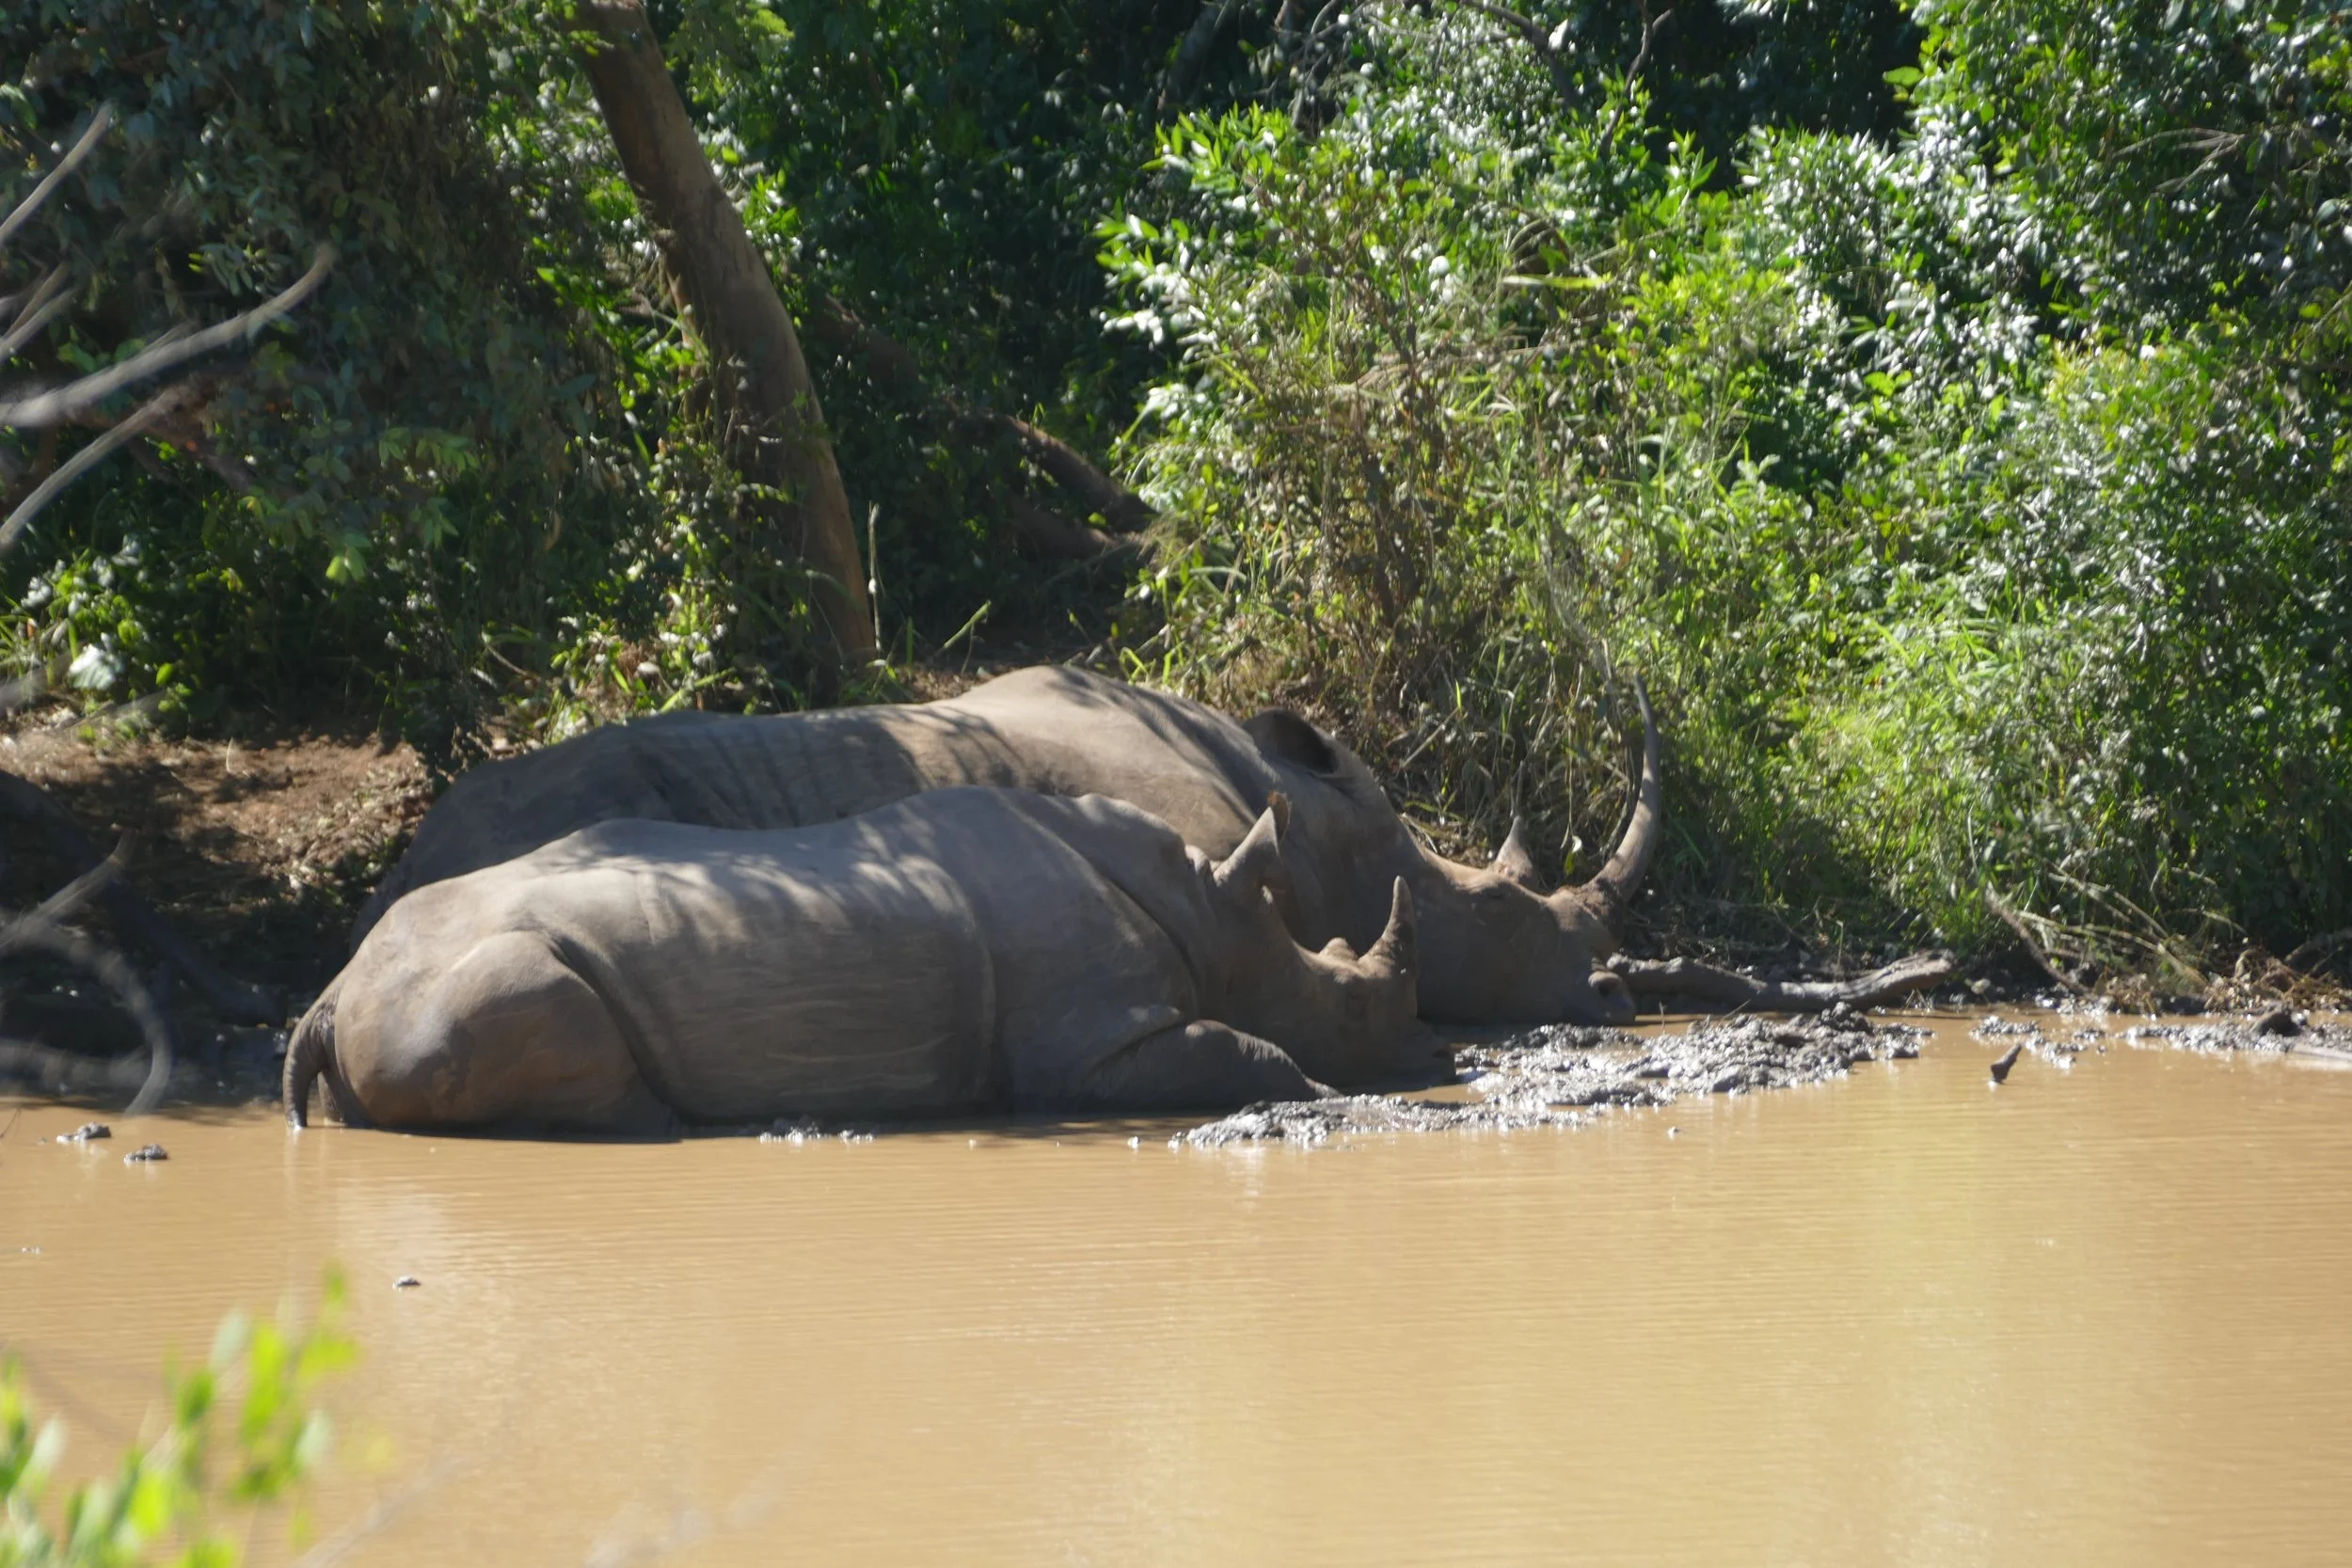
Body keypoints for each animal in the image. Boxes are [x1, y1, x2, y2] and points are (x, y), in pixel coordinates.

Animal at [285, 787, 1431, 1134]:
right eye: (1349, 1007)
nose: (1424, 1055)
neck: (1212, 910)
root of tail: (329, 994)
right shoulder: (1094, 1044)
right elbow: (1241, 1049)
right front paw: (1322, 1086)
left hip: (396, 991)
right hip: (461, 986)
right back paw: (664, 1125)